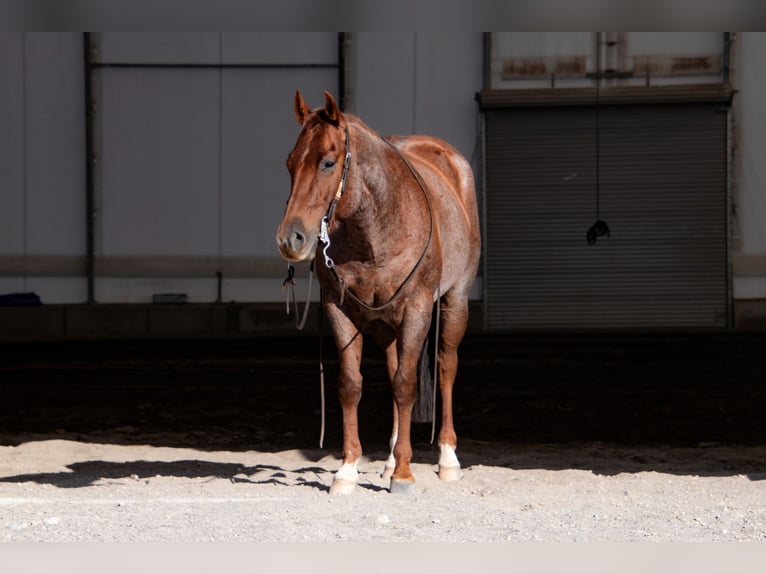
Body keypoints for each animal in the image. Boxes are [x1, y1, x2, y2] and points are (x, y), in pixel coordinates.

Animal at [276, 91, 481, 494]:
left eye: (328, 162)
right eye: (290, 162)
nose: (291, 239)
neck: (378, 226)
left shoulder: (417, 309)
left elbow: (407, 385)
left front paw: (404, 473)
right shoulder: (339, 309)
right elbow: (352, 385)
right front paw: (348, 470)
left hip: (456, 300)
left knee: (446, 366)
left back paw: (447, 458)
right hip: (387, 323)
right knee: (393, 369)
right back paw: (387, 461)